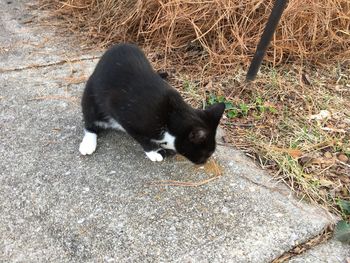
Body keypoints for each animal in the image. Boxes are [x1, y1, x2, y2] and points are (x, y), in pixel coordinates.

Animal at [79, 43, 224, 165]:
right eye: (207, 153)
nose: (203, 162)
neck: (170, 118)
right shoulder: (127, 118)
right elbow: (142, 139)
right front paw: (154, 152)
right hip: (90, 96)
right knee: (90, 120)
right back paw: (88, 142)